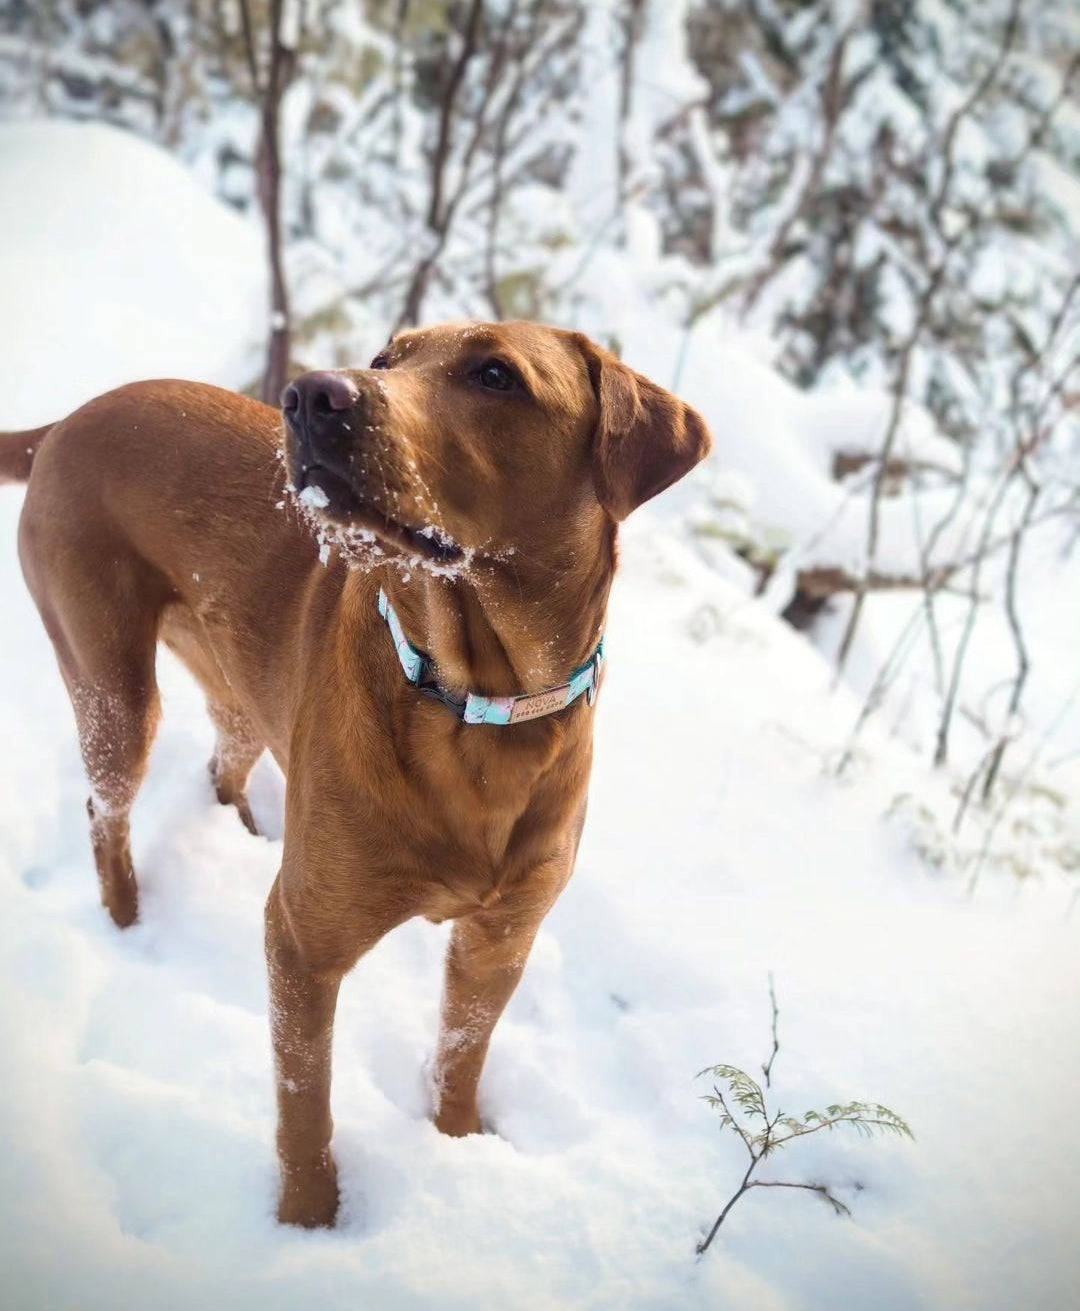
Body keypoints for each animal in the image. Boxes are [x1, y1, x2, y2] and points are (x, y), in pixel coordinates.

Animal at [2, 322, 707, 1221]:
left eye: (497, 375)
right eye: (385, 360)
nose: (309, 394)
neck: (477, 706)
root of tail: (68, 418)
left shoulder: (499, 942)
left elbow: (461, 1056)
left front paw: (455, 1145)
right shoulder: (305, 943)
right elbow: (306, 1100)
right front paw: (308, 1218)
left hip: (240, 683)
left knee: (223, 759)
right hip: (112, 688)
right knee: (107, 811)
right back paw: (127, 924)